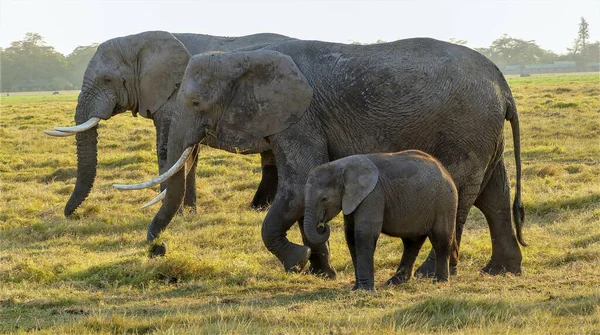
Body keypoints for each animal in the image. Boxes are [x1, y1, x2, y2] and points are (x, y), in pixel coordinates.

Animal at [44, 31, 288, 218]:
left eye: (107, 80)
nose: (69, 215)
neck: (139, 40)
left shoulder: (177, 96)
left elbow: (168, 150)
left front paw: (174, 214)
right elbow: (187, 156)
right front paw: (188, 213)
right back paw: (258, 210)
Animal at [119, 38, 524, 276]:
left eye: (195, 103)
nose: (158, 249)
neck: (245, 55)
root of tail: (503, 84)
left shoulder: (302, 116)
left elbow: (298, 185)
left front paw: (297, 262)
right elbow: (306, 186)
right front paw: (318, 269)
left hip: (467, 124)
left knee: (461, 192)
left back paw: (432, 273)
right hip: (482, 128)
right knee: (494, 196)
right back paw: (501, 271)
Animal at [302, 151, 458, 290]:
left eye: (324, 199)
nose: (322, 225)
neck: (341, 166)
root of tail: (445, 171)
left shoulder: (373, 195)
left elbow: (363, 234)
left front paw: (364, 290)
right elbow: (350, 236)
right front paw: (356, 288)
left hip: (445, 202)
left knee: (440, 240)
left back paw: (439, 282)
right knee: (411, 242)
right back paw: (395, 282)